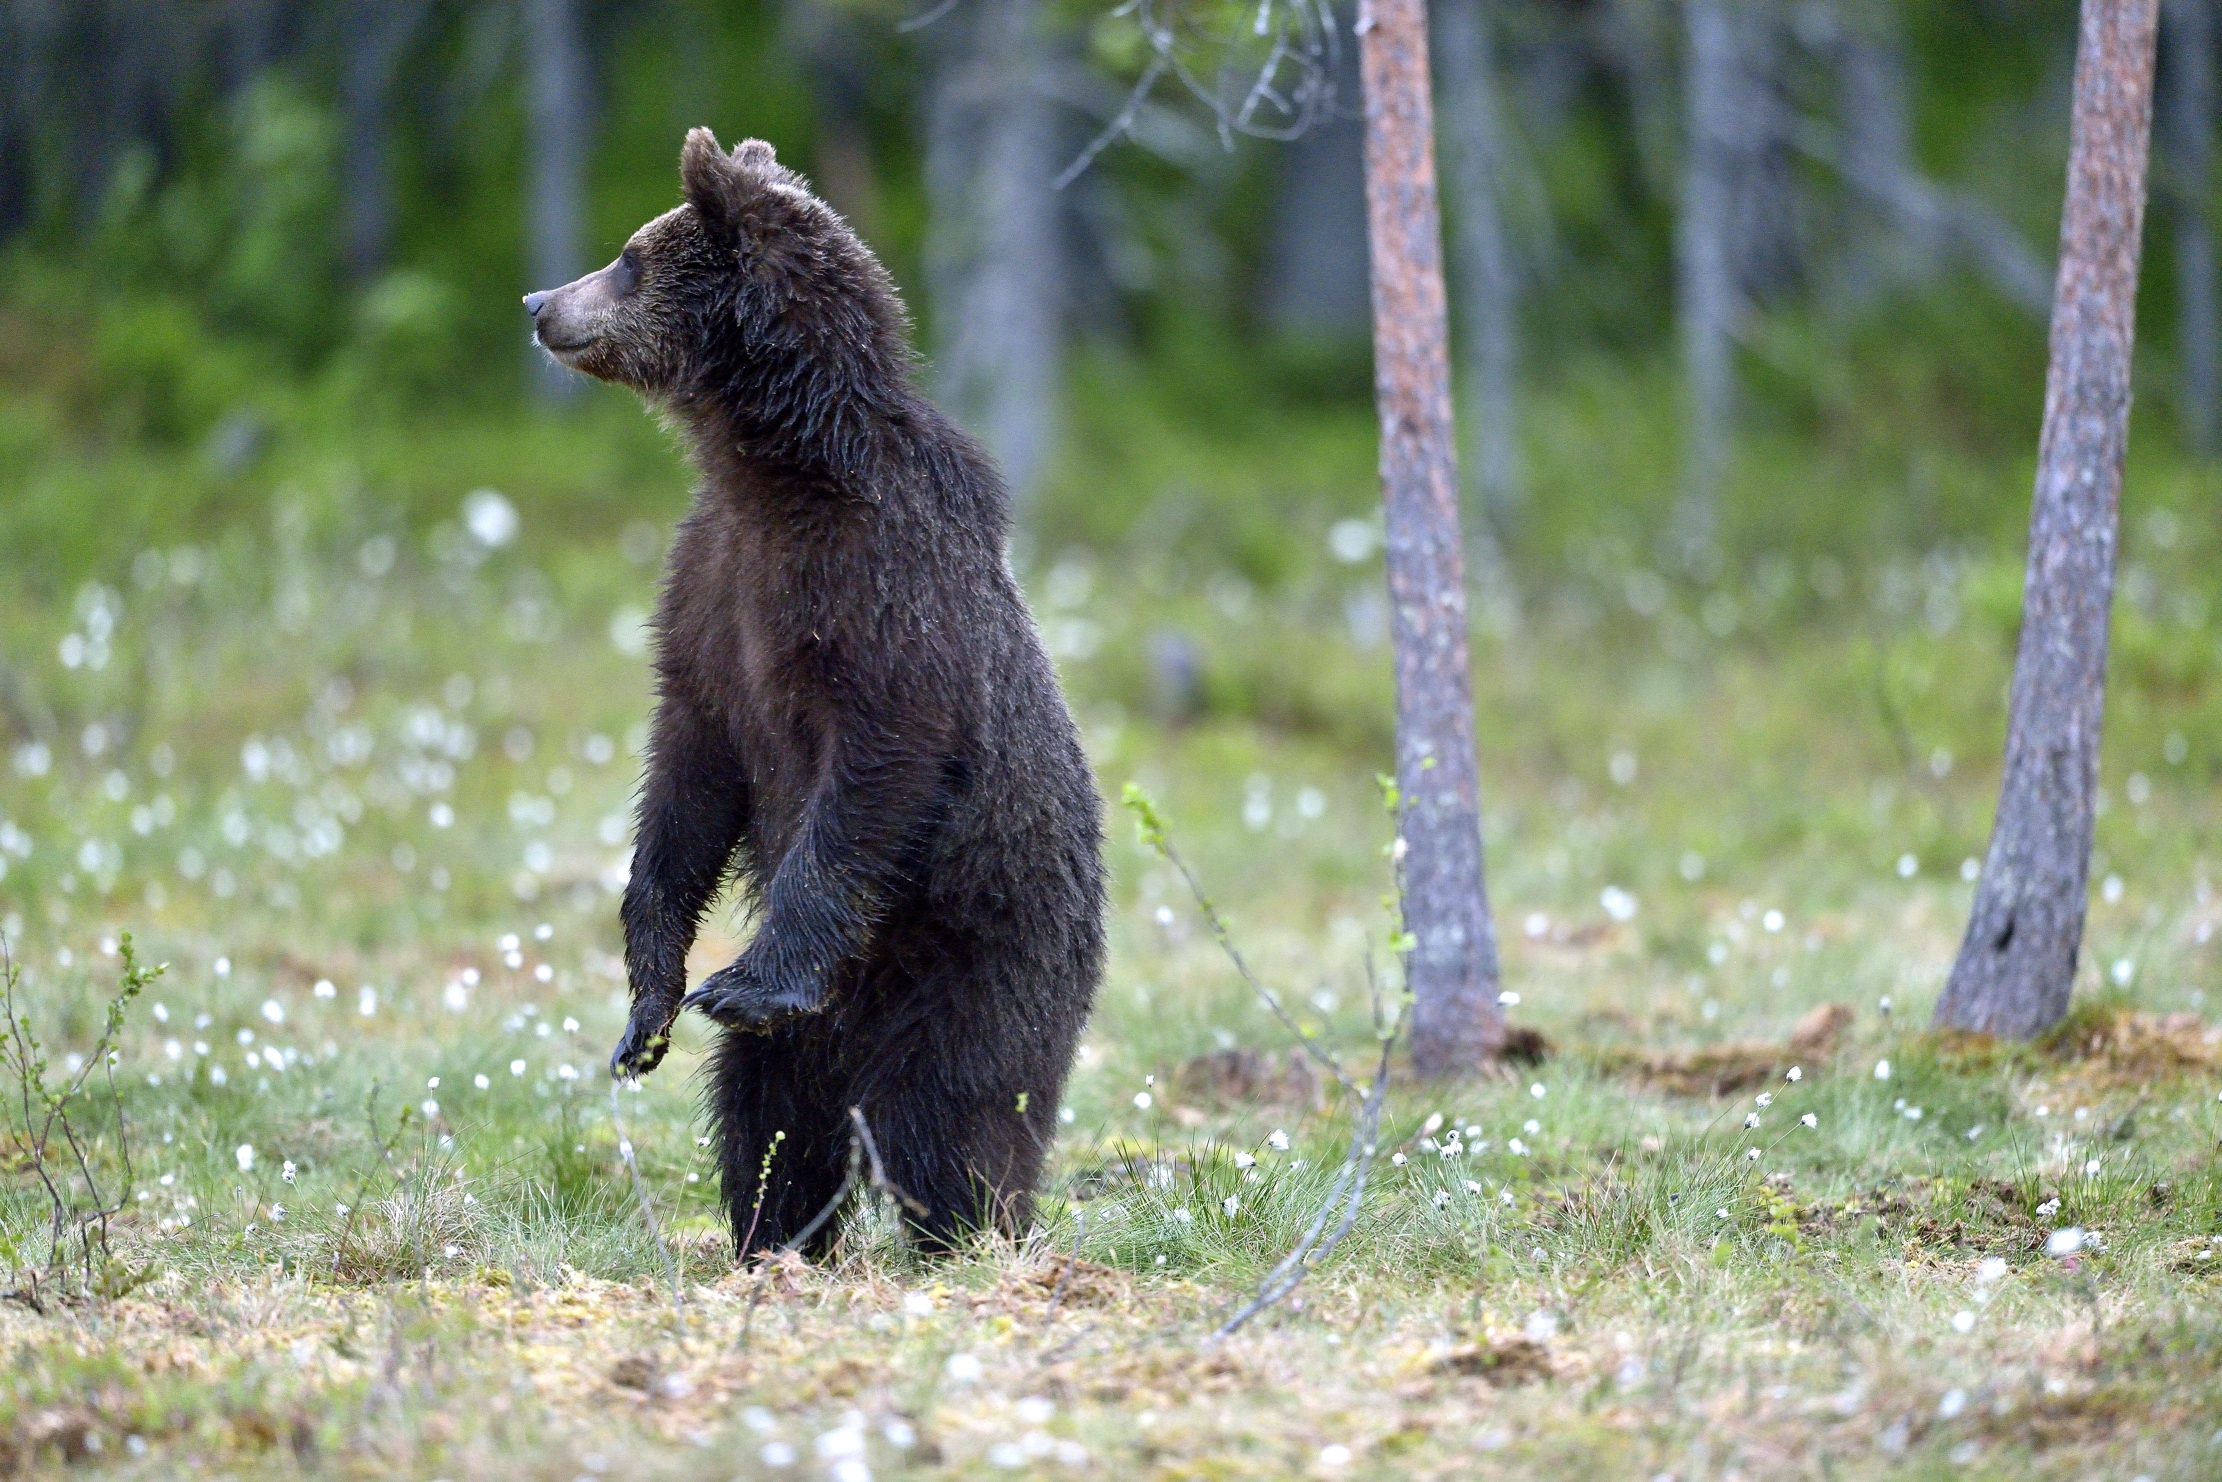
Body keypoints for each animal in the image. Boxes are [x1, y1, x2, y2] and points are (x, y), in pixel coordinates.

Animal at [523, 128, 1105, 1256]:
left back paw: (966, 1238)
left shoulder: (877, 592)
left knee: (953, 1118)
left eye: (628, 258)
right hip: (834, 1036)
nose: (537, 301)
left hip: (986, 957)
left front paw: (746, 980)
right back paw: (774, 1238)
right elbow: (686, 785)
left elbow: (869, 778)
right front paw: (646, 1012)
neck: (772, 466)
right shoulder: (711, 592)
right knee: (770, 1112)